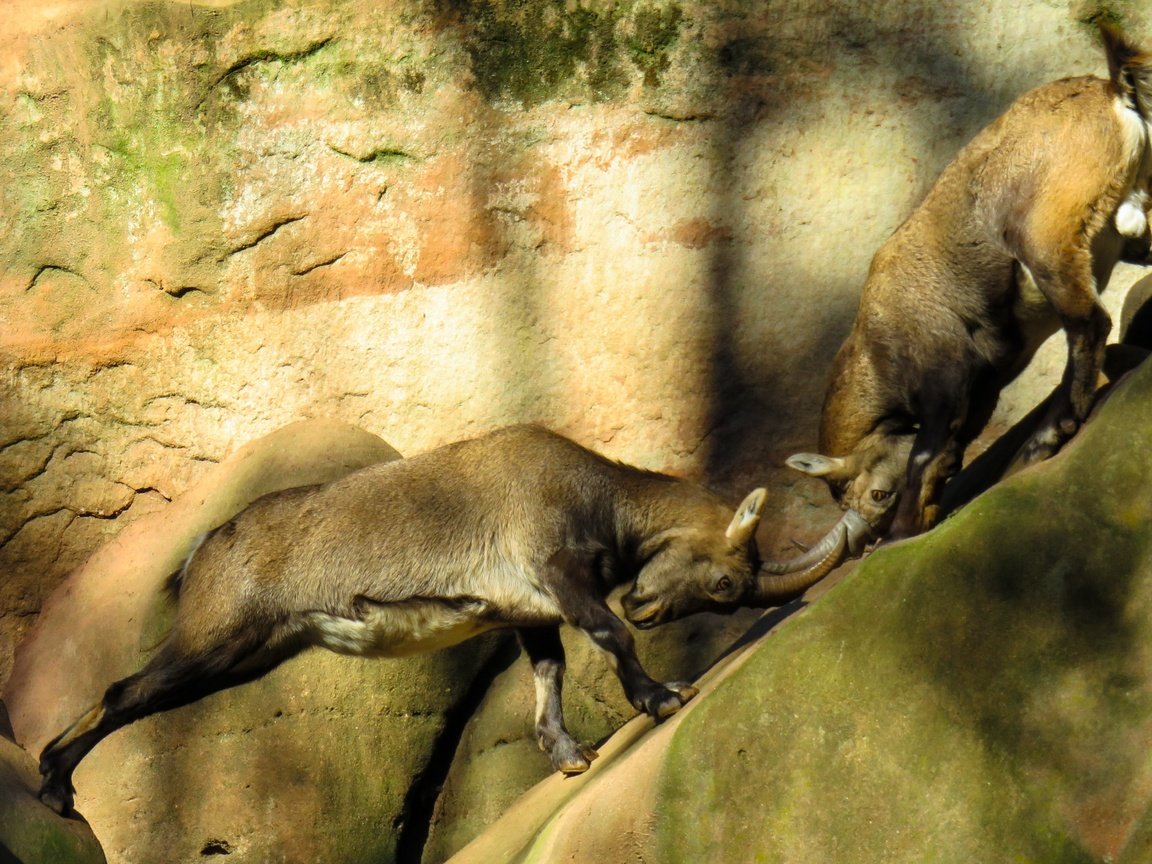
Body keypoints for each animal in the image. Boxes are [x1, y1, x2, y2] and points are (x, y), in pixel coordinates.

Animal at [38, 426, 847, 820]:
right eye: (725, 582)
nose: (646, 604)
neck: (596, 494)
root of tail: (206, 548)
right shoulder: (556, 570)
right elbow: (606, 636)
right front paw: (661, 697)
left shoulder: (529, 613)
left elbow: (549, 674)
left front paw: (567, 753)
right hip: (214, 637)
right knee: (122, 693)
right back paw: (51, 785)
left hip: (246, 656)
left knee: (135, 698)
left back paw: (54, 778)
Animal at [787, 25, 1147, 555]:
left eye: (875, 493)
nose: (868, 542)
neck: (874, 345)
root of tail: (1112, 93)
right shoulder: (982, 389)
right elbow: (949, 456)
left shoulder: (944, 380)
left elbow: (925, 458)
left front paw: (902, 534)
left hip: (1047, 239)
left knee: (1089, 324)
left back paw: (1050, 435)